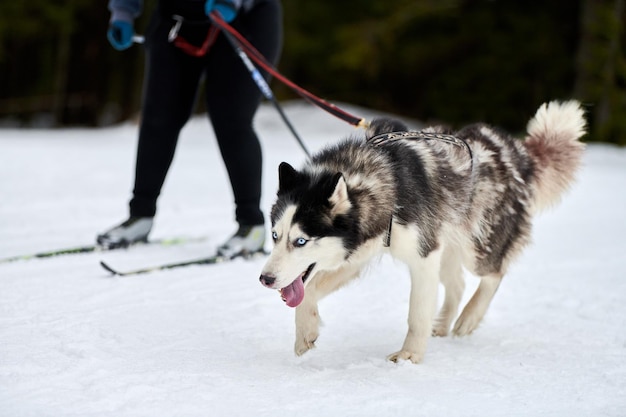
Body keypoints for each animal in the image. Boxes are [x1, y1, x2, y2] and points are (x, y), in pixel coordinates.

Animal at [258, 100, 584, 360]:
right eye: (274, 236)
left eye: (301, 241)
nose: (265, 279)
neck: (385, 184)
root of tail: (517, 151)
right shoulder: (357, 256)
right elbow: (309, 291)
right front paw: (306, 331)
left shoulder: (423, 257)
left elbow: (416, 314)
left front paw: (409, 357)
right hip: (448, 244)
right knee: (458, 284)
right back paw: (442, 324)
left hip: (475, 247)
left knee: (494, 274)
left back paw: (469, 317)